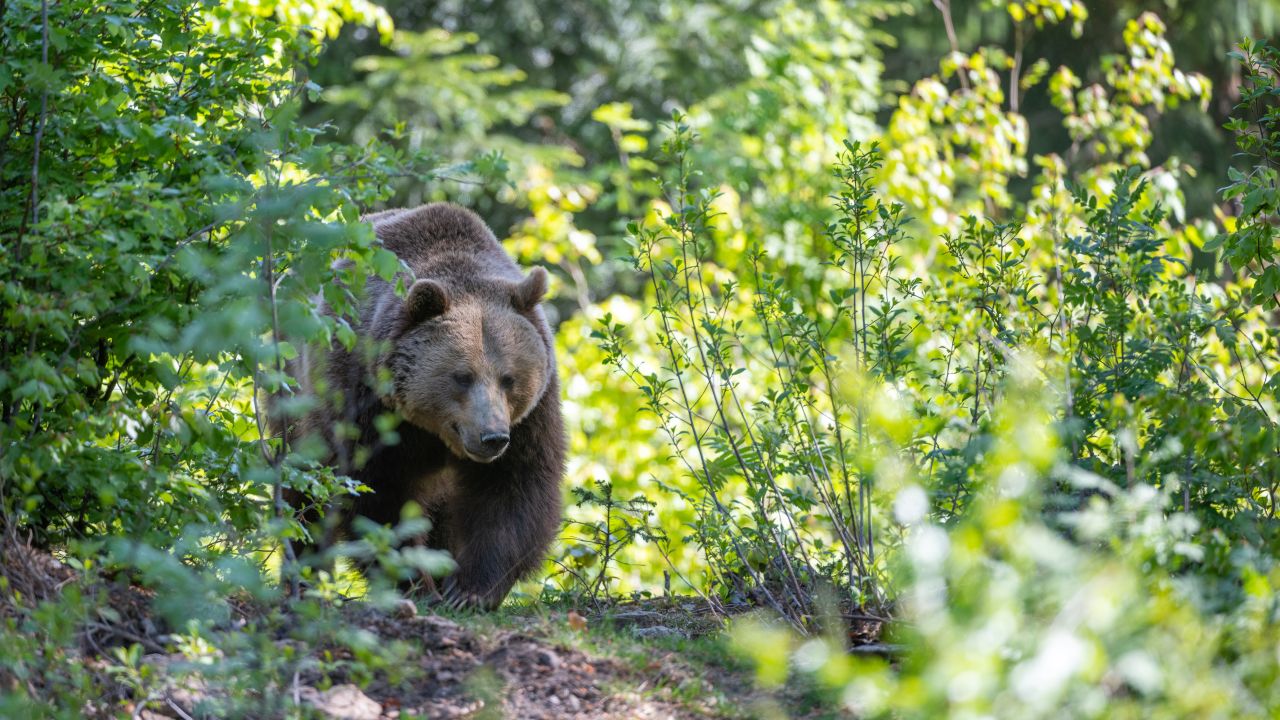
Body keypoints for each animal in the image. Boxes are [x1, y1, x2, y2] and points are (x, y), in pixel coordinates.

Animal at [290, 199, 570, 604]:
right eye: (462, 376)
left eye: (509, 378)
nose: (492, 437)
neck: (431, 430)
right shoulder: (360, 394)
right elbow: (374, 489)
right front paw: (416, 583)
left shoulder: (532, 415)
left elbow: (514, 486)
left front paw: (469, 589)